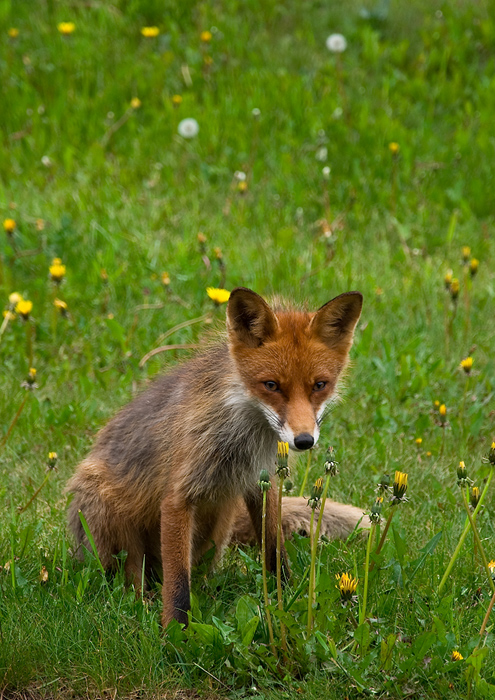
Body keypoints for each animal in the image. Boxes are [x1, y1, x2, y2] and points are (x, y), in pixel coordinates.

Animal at [67, 288, 364, 628]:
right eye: (271, 385)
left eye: (319, 385)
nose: (304, 441)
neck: (245, 435)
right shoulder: (177, 497)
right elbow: (178, 581)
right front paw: (175, 631)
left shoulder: (260, 482)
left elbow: (274, 550)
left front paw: (285, 597)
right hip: (110, 517)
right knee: (132, 579)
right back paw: (144, 602)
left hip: (220, 517)